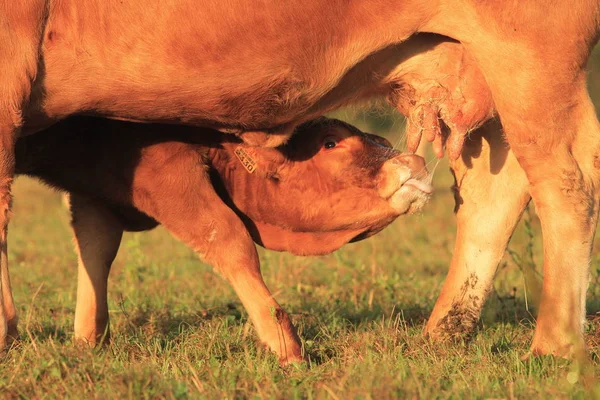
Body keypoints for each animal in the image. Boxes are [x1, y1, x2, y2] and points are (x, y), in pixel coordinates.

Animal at [11, 115, 428, 362]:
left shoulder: (95, 191)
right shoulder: (164, 172)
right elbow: (227, 237)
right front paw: (285, 344)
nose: (416, 163)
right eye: (330, 143)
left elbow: (95, 249)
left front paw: (89, 340)